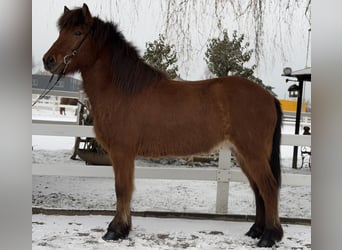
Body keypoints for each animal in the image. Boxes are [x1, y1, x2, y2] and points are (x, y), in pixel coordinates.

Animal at [42, 4, 284, 248]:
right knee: (258, 189)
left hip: (252, 153)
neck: (123, 91)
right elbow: (126, 189)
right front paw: (124, 227)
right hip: (243, 154)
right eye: (61, 31)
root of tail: (269, 97)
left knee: (268, 187)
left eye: (78, 33)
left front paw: (116, 230)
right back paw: (256, 230)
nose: (48, 60)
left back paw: (269, 236)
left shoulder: (122, 152)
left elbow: (122, 189)